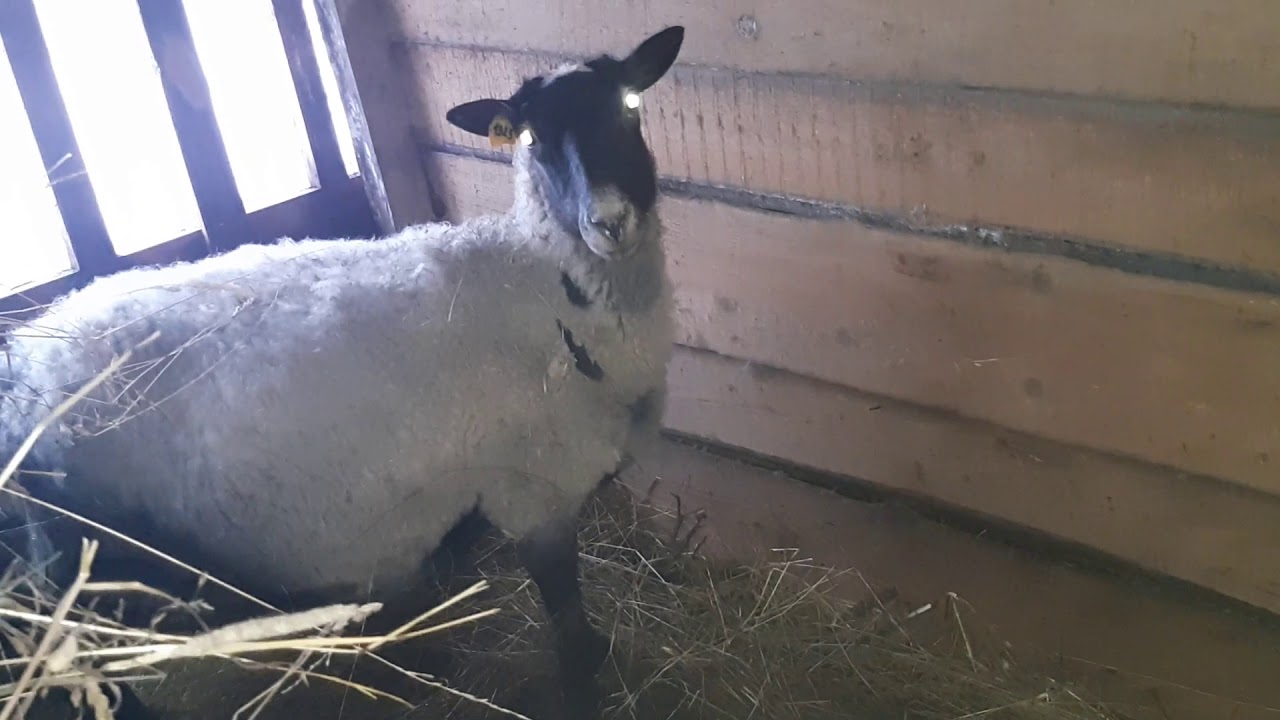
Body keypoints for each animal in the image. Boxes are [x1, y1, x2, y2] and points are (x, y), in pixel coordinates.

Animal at [0, 24, 686, 720]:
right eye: (531, 138)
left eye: (629, 105)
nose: (609, 223)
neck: (544, 283)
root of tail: (24, 365)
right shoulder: (535, 491)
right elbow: (567, 618)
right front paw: (587, 679)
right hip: (70, 567)